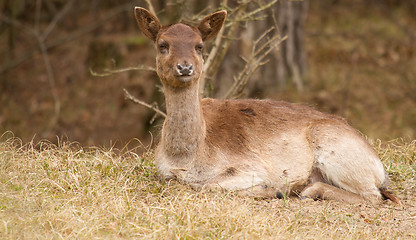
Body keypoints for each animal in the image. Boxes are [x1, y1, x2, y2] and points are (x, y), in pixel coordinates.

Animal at [133, 6, 400, 203]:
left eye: (200, 46)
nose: (185, 67)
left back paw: (304, 190)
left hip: (338, 152)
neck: (186, 157)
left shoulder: (250, 166)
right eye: (162, 45)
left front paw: (273, 188)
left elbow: (208, 186)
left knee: (373, 196)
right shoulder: (164, 172)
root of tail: (380, 168)